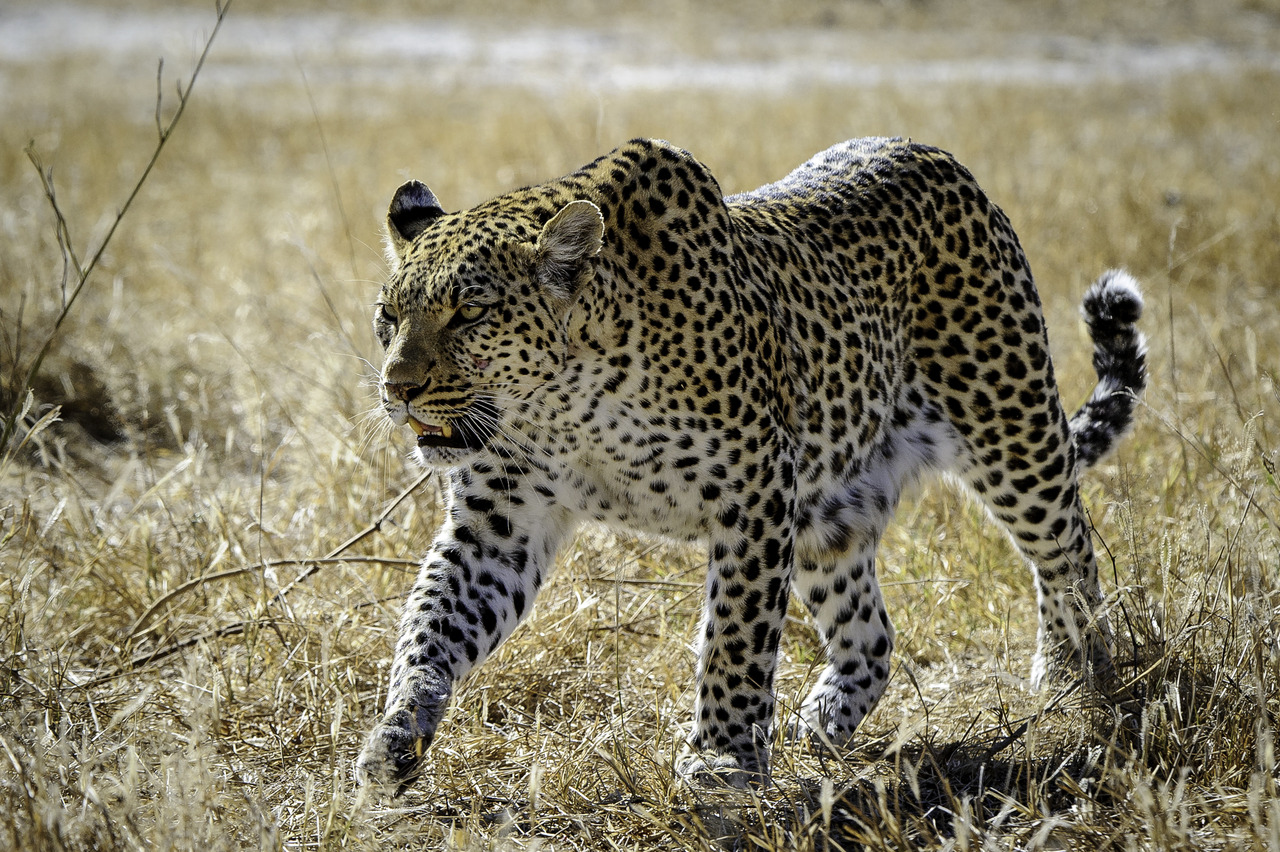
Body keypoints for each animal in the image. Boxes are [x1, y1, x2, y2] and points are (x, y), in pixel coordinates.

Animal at [353, 136, 1152, 788]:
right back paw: (820, 723)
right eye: (388, 316)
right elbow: (431, 627)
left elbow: (736, 636)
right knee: (872, 634)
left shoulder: (754, 493)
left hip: (1009, 427)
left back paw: (1076, 677)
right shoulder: (500, 522)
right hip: (831, 514)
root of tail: (935, 156)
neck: (565, 404)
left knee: (1069, 546)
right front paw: (395, 738)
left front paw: (724, 757)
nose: (397, 388)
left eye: (470, 313)